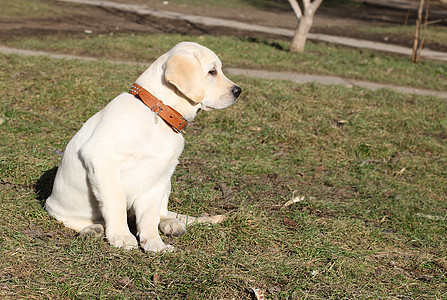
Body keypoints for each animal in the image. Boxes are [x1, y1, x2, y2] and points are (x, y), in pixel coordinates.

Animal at [45, 42, 242, 252]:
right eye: (212, 71)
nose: (238, 91)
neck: (158, 113)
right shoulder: (102, 159)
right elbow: (116, 201)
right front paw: (122, 236)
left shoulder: (157, 177)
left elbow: (149, 216)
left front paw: (156, 245)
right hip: (56, 207)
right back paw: (92, 229)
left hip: (167, 181)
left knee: (162, 212)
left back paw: (171, 223)